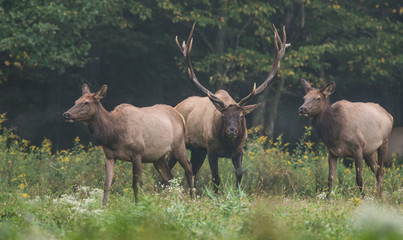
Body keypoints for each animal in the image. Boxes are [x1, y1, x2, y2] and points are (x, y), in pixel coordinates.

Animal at [63, 84, 194, 204]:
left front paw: (137, 205)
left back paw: (192, 200)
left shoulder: (137, 153)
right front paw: (103, 207)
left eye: (86, 102)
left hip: (179, 145)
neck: (114, 135)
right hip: (158, 156)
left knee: (189, 168)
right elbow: (107, 184)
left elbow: (135, 184)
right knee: (169, 177)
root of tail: (181, 116)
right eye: (76, 101)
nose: (66, 114)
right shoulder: (109, 156)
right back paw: (167, 202)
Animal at [170, 23, 290, 192]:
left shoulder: (238, 150)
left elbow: (239, 173)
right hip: (179, 144)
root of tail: (176, 106)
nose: (231, 131)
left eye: (241, 116)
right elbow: (216, 178)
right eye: (223, 116)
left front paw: (236, 192)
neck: (228, 146)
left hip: (197, 149)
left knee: (191, 171)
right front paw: (216, 195)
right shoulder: (211, 149)